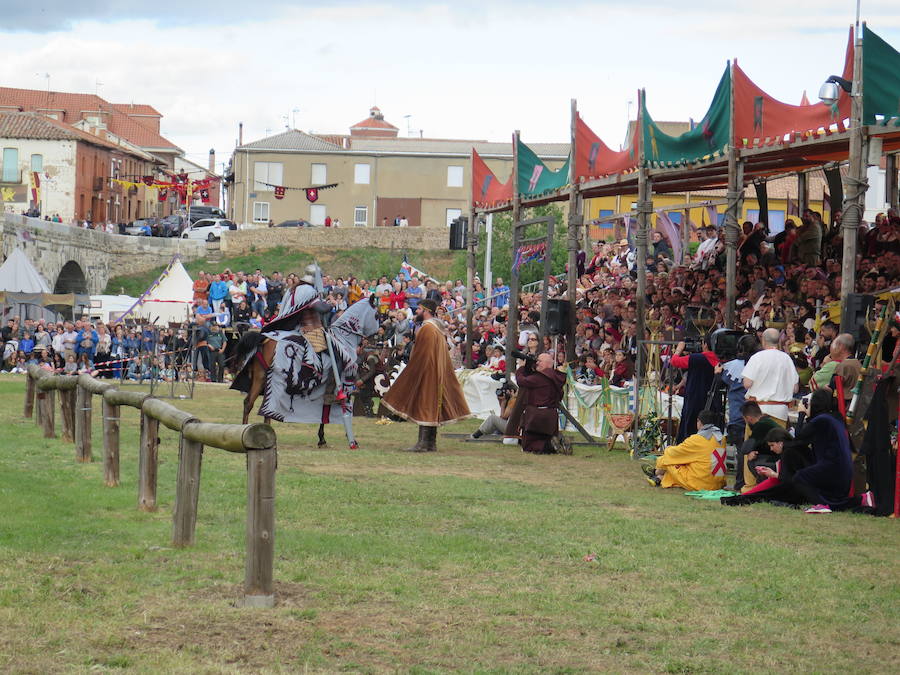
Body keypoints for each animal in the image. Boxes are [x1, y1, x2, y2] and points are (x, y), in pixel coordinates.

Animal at [234, 298, 378, 448]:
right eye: (376, 315)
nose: (374, 340)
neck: (344, 340)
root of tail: (264, 338)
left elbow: (324, 411)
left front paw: (322, 438)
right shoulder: (342, 384)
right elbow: (341, 408)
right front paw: (350, 440)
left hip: (261, 377)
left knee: (250, 403)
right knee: (265, 407)